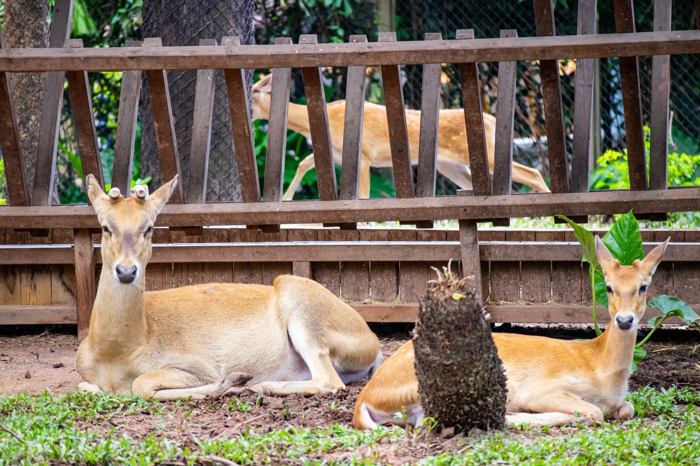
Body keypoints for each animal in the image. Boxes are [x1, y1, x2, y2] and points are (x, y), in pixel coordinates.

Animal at [76, 175, 382, 400]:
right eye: (105, 226)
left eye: (149, 227)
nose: (126, 271)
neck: (118, 349)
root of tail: (374, 345)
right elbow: (87, 386)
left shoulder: (195, 364)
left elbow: (142, 385)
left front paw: (231, 381)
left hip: (304, 310)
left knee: (329, 380)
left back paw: (260, 385)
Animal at [252, 73, 552, 201]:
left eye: (251, 96)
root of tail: (491, 120)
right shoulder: (333, 154)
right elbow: (303, 163)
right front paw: (286, 198)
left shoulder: (364, 155)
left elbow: (363, 194)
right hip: (450, 166)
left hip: (484, 154)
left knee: (534, 172)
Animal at [352, 237, 668, 430]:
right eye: (609, 287)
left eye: (643, 286)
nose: (624, 320)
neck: (601, 367)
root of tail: (365, 396)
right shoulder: (544, 387)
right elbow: (593, 412)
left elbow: (626, 409)